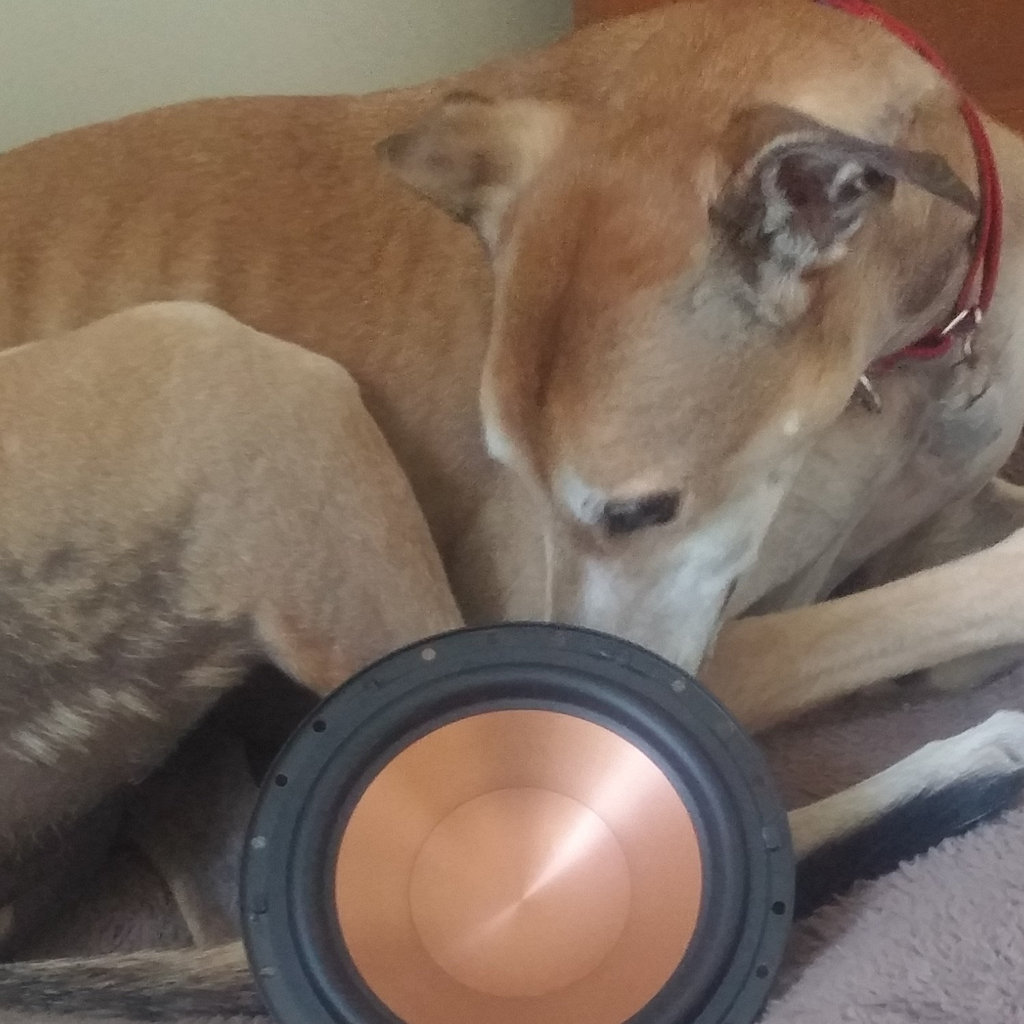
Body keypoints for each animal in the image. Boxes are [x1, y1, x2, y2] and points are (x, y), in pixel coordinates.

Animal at [3, 0, 1024, 1015]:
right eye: (521, 485)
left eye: (640, 511)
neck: (913, 347)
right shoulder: (734, 647)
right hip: (239, 377)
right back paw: (975, 760)